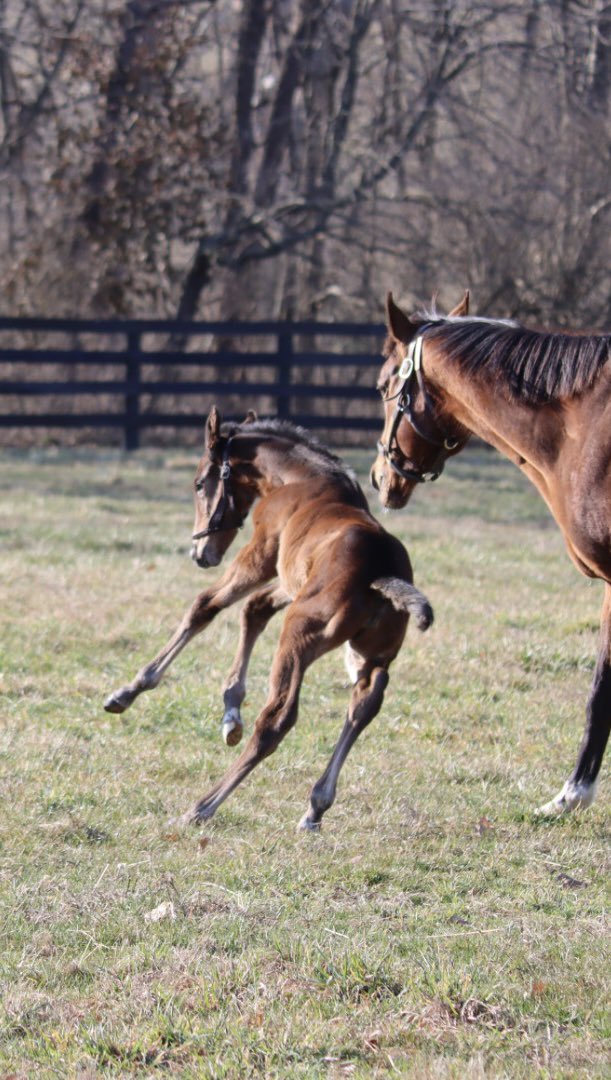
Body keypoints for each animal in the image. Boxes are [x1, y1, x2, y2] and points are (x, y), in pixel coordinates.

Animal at [103, 408, 433, 829]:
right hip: (372, 654)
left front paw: (127, 691)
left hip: (299, 635)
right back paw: (315, 806)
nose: (201, 553)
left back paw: (202, 807)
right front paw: (230, 713)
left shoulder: (261, 553)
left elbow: (205, 606)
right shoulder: (290, 578)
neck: (304, 479)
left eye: (199, 483)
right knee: (363, 706)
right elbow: (255, 608)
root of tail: (382, 575)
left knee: (277, 719)